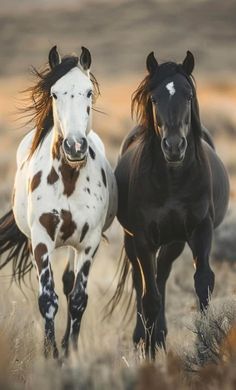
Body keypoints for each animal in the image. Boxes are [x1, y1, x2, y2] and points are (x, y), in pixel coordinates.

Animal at [0, 45, 117, 356]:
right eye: (54, 93)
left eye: (88, 92)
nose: (75, 146)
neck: (68, 179)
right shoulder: (41, 240)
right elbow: (47, 299)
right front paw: (50, 353)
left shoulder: (89, 243)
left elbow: (77, 299)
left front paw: (70, 352)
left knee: (69, 284)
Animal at [112, 51, 229, 360]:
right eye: (154, 99)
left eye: (188, 95)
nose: (174, 146)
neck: (173, 180)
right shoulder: (141, 238)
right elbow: (149, 296)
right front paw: (149, 353)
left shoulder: (200, 230)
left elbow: (203, 282)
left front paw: (205, 343)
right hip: (133, 241)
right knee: (142, 281)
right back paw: (143, 337)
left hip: (174, 241)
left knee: (162, 275)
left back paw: (160, 335)